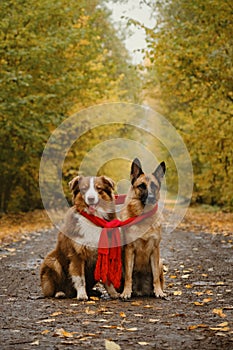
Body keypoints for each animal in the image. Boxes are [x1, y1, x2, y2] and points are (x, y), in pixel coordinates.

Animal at [120, 158, 166, 298]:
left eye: (154, 186)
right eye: (141, 186)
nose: (151, 198)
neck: (143, 217)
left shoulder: (155, 250)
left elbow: (155, 277)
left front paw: (159, 292)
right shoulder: (129, 250)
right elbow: (128, 276)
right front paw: (126, 292)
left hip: (160, 262)